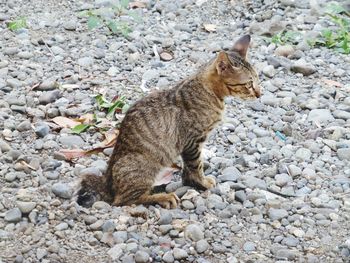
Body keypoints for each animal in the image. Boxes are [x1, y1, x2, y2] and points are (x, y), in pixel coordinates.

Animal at [77, 34, 262, 210]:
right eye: (248, 84)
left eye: (258, 79)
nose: (259, 94)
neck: (208, 90)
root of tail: (107, 181)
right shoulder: (193, 141)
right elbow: (196, 165)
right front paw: (201, 182)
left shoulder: (190, 145)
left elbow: (189, 168)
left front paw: (191, 182)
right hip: (144, 167)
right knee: (123, 200)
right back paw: (162, 197)